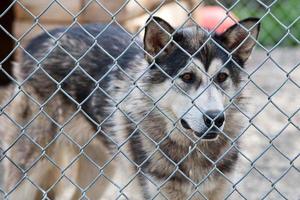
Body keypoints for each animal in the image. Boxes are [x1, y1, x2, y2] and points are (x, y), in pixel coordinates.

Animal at [0, 16, 258, 199]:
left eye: (222, 77)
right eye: (187, 77)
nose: (215, 118)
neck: (193, 151)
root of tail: (41, 38)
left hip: (100, 174)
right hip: (27, 172)